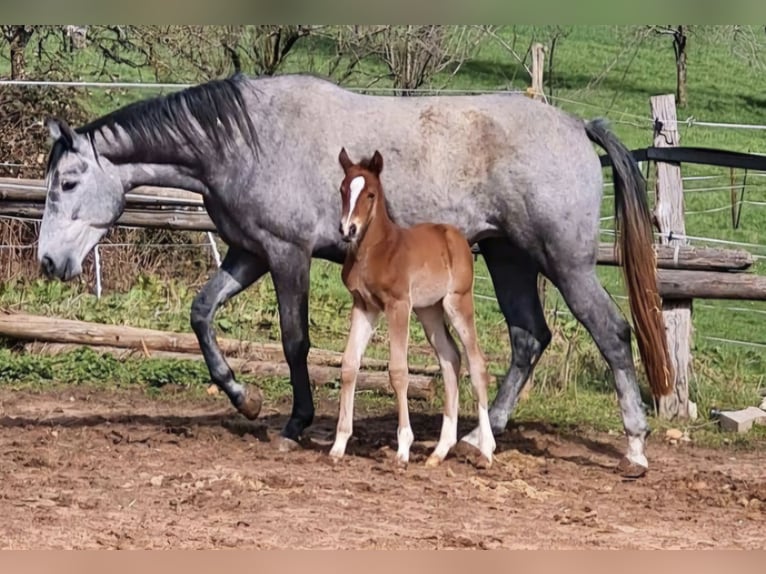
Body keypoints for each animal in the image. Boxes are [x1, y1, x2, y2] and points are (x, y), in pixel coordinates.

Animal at [330, 150, 498, 472]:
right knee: (450, 359)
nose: (348, 229)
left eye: (370, 194)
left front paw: (403, 448)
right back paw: (439, 451)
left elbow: (398, 371)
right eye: (343, 190)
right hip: (429, 310)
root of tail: (456, 235)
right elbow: (348, 365)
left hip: (457, 303)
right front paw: (338, 445)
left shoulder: (398, 305)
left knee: (476, 363)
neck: (376, 250)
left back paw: (486, 450)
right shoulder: (364, 306)